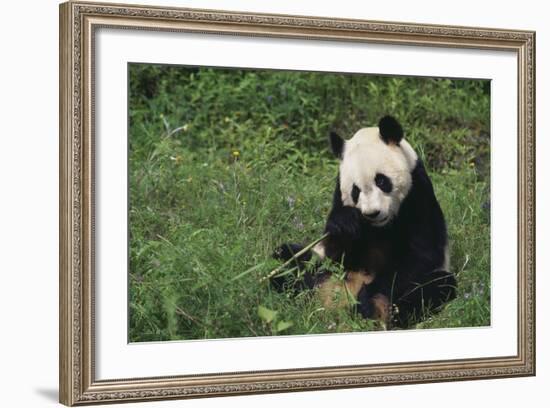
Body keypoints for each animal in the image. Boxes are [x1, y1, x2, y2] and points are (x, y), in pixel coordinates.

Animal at [274, 115, 460, 328]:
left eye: (381, 181)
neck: (381, 226)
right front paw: (345, 224)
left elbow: (421, 254)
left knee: (437, 286)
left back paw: (375, 312)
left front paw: (366, 299)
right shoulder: (339, 195)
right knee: (289, 261)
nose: (372, 213)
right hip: (322, 273)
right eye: (355, 191)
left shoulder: (418, 193)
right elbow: (336, 253)